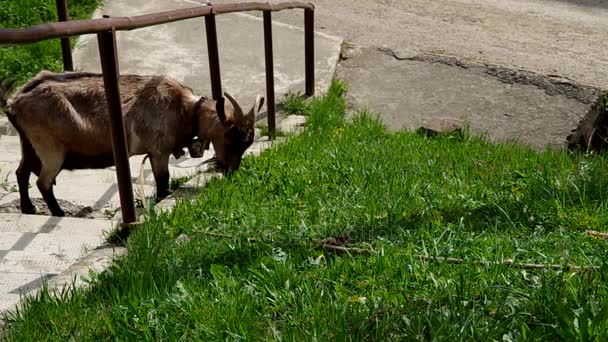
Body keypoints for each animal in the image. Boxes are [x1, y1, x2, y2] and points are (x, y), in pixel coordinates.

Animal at [2, 70, 264, 216]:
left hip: (30, 145)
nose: (231, 171)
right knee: (43, 182)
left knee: (22, 172)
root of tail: (15, 102)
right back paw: (59, 213)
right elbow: (163, 182)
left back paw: (29, 208)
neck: (186, 110)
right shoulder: (159, 151)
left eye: (247, 142)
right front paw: (159, 202)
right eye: (229, 136)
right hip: (50, 148)